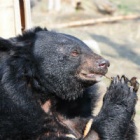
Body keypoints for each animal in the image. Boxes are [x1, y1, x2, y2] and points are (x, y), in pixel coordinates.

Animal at [0, 26, 138, 139]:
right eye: (74, 52)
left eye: (89, 49)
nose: (104, 63)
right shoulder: (19, 117)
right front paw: (120, 91)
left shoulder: (77, 114)